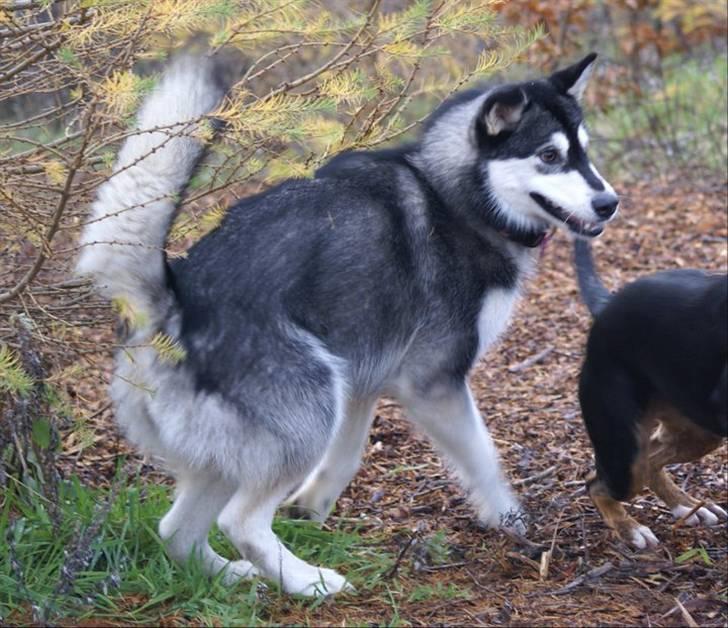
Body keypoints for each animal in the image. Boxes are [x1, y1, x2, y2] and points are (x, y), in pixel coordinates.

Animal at [78, 52, 616, 592]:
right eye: (549, 155)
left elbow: (347, 456)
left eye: (585, 153)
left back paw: (235, 575)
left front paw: (311, 508)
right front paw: (509, 519)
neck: (458, 199)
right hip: (311, 408)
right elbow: (483, 457)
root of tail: (175, 301)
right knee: (240, 522)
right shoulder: (431, 383)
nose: (608, 203)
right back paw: (310, 582)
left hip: (254, 439)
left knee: (177, 531)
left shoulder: (361, 379)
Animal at [576, 238, 724, 548]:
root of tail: (607, 306)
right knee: (596, 483)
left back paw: (687, 506)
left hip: (699, 431)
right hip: (625, 456)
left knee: (652, 462)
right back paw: (630, 530)